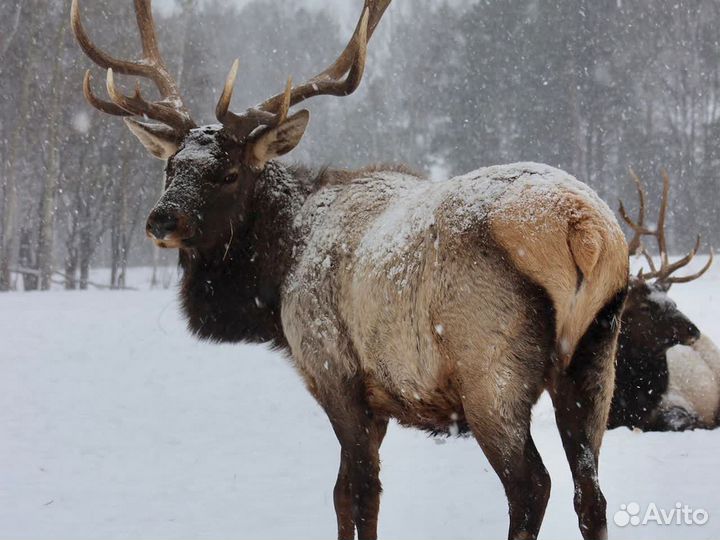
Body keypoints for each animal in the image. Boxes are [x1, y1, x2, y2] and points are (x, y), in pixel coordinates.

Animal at [70, 2, 628, 536]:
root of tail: (584, 228)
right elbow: (354, 495)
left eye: (227, 172)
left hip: (490, 370)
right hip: (595, 361)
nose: (161, 220)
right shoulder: (376, 399)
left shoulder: (332, 370)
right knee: (591, 494)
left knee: (531, 486)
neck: (277, 278)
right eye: (171, 166)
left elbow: (356, 493)